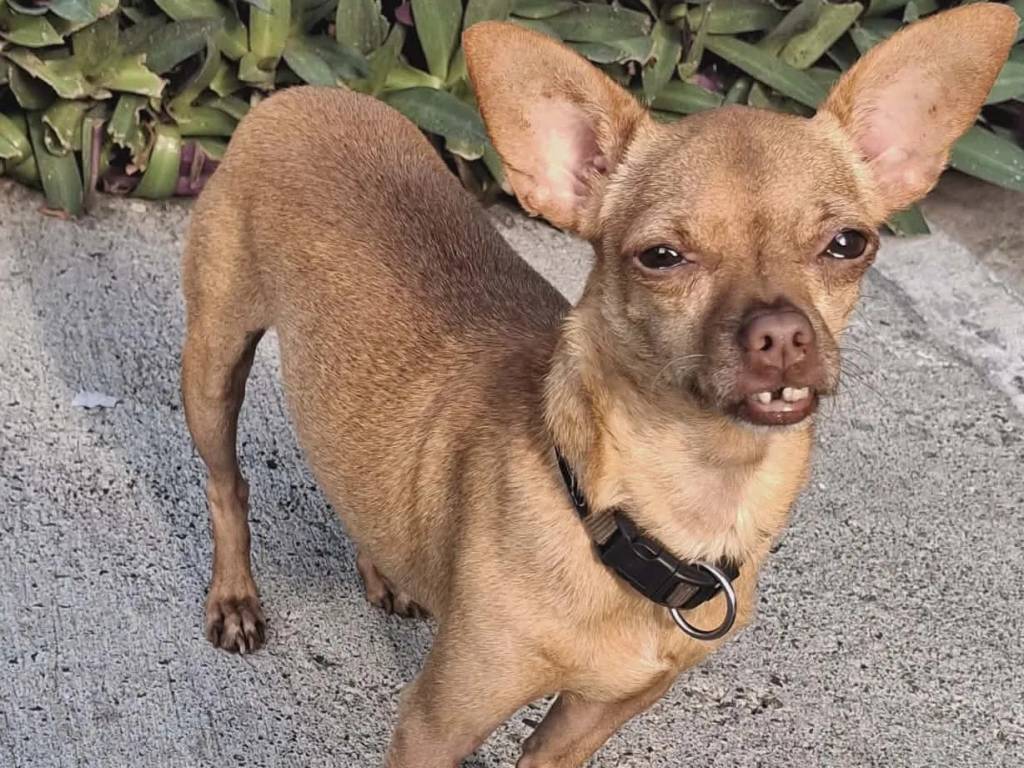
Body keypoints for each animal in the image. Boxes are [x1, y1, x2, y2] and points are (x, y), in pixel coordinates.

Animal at [180, 5, 1016, 766]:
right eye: (661, 257)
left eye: (848, 244)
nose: (781, 333)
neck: (666, 511)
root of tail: (306, 94)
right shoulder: (434, 726)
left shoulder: (578, 730)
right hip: (212, 367)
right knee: (227, 486)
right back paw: (235, 597)